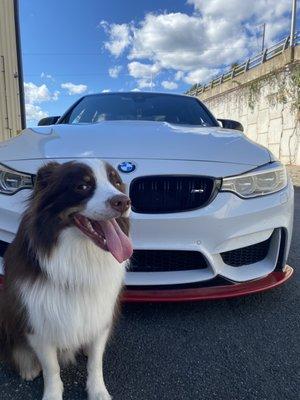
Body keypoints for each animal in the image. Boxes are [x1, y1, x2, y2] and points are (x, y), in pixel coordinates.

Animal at [0, 159, 133, 400]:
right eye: (82, 186)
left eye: (116, 182)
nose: (124, 201)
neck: (80, 258)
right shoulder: (38, 322)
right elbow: (51, 367)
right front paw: (52, 394)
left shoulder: (100, 316)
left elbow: (95, 362)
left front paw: (98, 391)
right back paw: (28, 367)